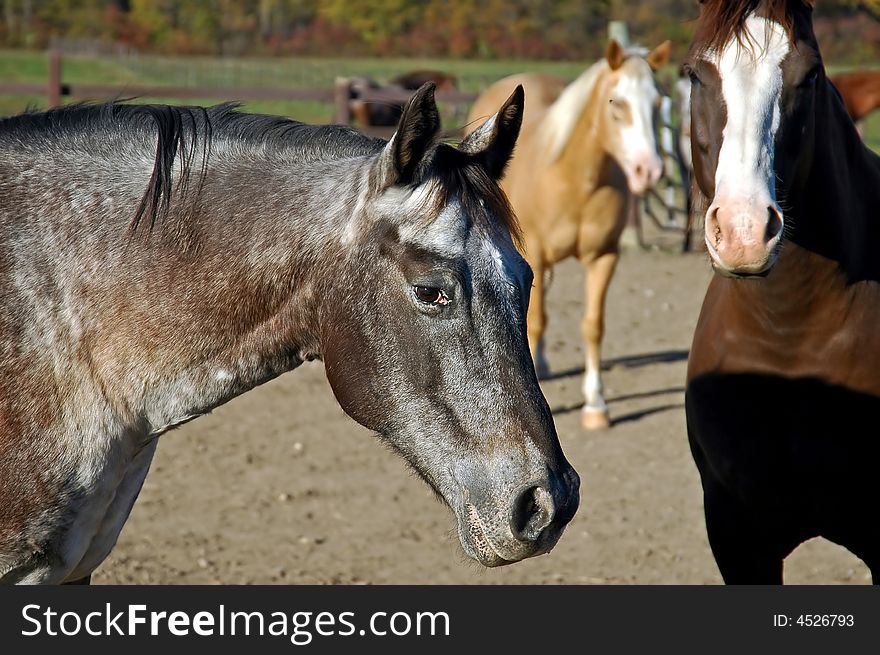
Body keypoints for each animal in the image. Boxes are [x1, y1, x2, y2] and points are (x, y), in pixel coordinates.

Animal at [468, 41, 672, 430]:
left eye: (656, 103)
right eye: (617, 103)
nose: (648, 171)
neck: (577, 181)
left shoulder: (605, 257)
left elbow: (593, 325)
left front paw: (596, 406)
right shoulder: (533, 253)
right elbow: (535, 321)